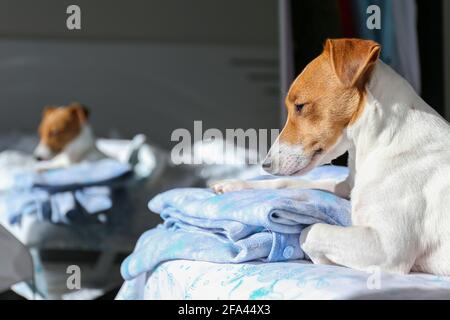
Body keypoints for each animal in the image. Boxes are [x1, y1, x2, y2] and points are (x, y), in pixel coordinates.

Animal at [212, 38, 450, 276]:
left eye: (300, 106)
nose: (266, 165)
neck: (380, 141)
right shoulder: (346, 187)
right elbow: (289, 183)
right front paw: (233, 185)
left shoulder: (389, 247)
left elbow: (310, 232)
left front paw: (322, 259)